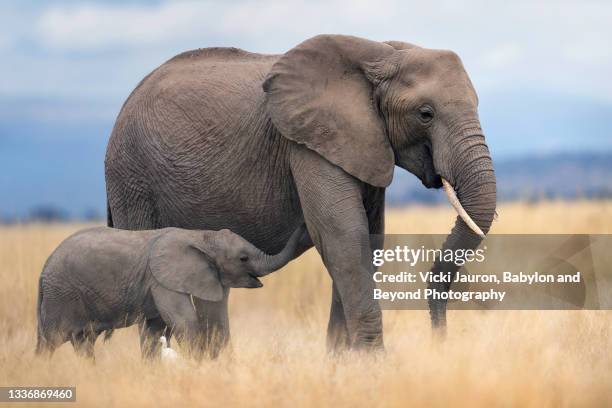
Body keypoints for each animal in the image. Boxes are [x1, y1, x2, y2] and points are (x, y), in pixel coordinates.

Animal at [37, 225, 304, 362]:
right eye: (243, 258)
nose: (303, 227)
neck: (201, 235)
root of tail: (44, 268)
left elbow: (160, 328)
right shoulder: (162, 280)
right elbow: (185, 320)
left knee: (82, 343)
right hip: (60, 295)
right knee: (51, 340)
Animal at [106, 35, 498, 352]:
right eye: (425, 114)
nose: (440, 340)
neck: (380, 53)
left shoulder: (362, 141)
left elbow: (367, 241)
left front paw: (344, 365)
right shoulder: (307, 142)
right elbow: (343, 236)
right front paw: (373, 365)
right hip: (132, 179)